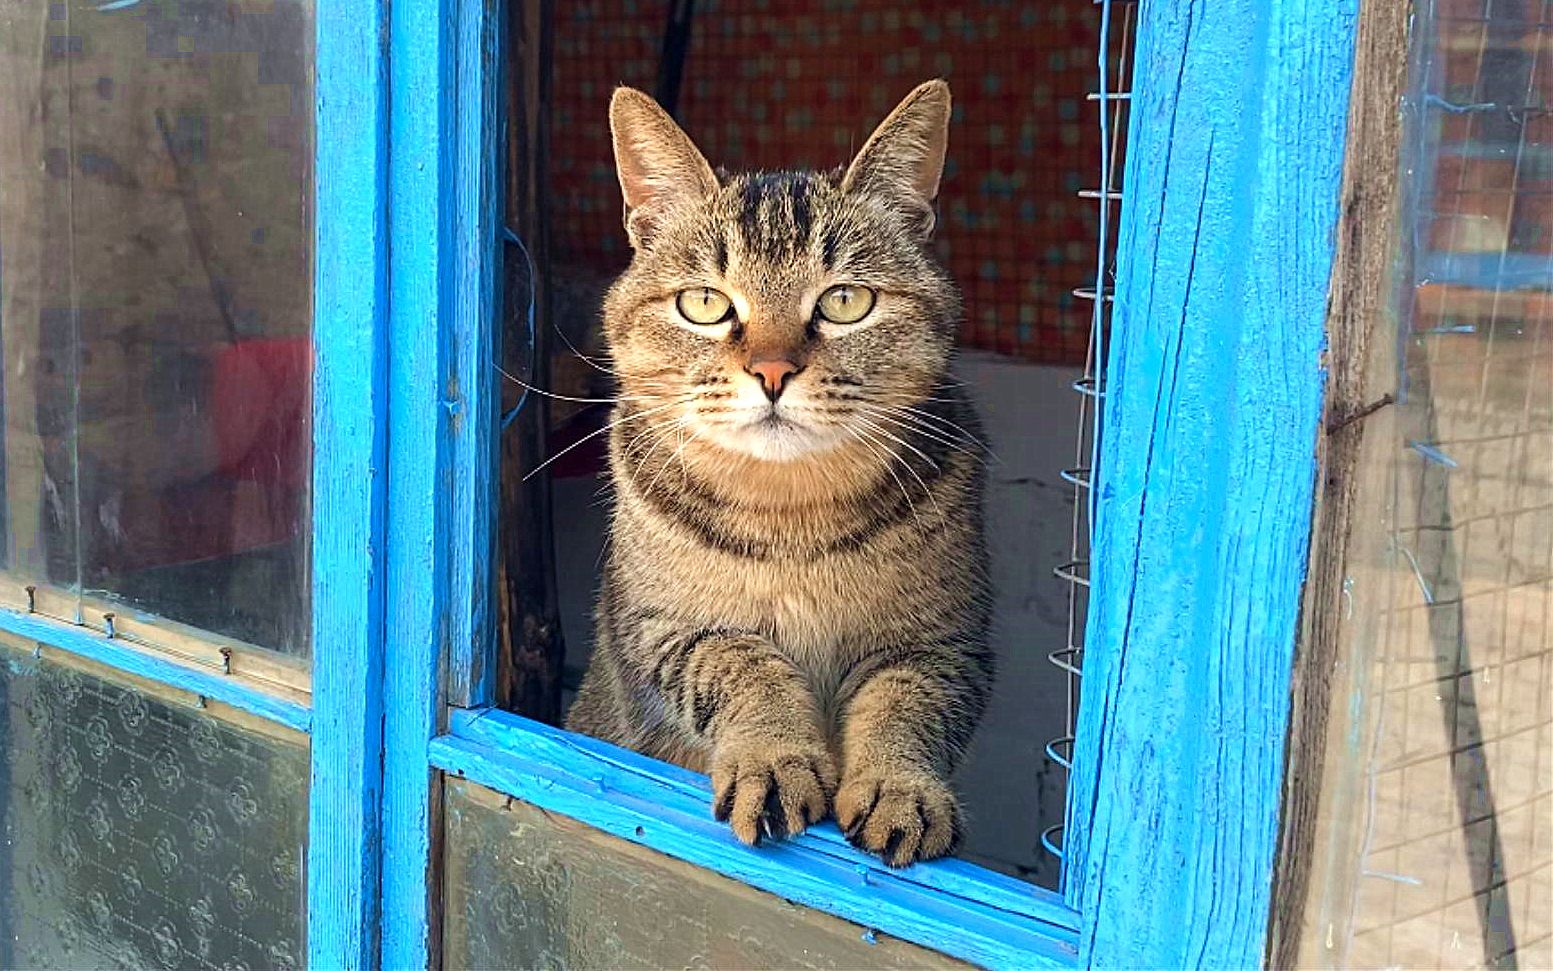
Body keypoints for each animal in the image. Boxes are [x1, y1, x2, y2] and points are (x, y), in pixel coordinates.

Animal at [571, 83, 993, 870]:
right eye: (704, 303)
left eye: (845, 301)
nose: (771, 371)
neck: (789, 512)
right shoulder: (664, 632)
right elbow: (743, 663)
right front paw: (773, 757)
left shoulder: (944, 642)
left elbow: (905, 701)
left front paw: (899, 787)